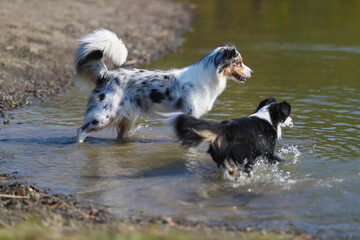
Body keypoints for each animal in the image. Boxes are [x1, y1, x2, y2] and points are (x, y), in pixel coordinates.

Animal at [74, 29, 253, 142]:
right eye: (239, 63)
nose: (252, 72)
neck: (209, 76)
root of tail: (106, 74)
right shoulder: (189, 114)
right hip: (104, 115)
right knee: (81, 131)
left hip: (126, 119)